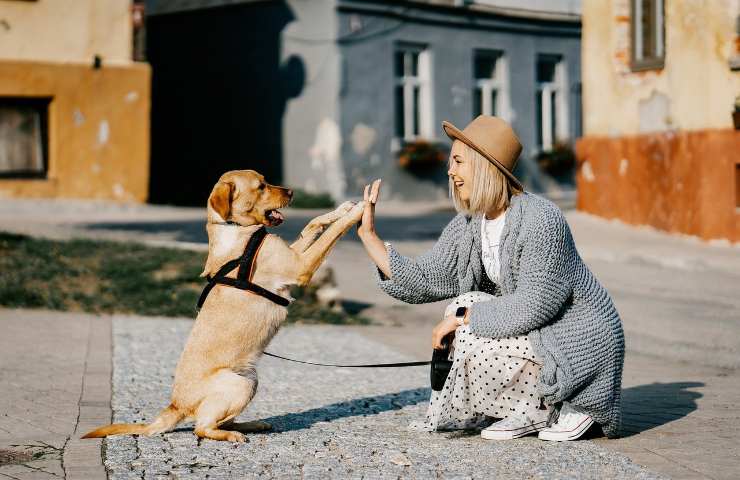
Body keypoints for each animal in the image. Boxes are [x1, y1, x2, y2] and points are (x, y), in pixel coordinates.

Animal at [82, 169, 366, 442]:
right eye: (261, 186)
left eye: (266, 181)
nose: (292, 192)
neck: (236, 229)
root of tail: (175, 405)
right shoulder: (300, 266)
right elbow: (331, 233)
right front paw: (359, 211)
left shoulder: (294, 254)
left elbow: (313, 223)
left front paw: (343, 208)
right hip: (239, 384)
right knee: (202, 428)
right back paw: (232, 435)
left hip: (251, 380)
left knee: (218, 421)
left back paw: (252, 424)